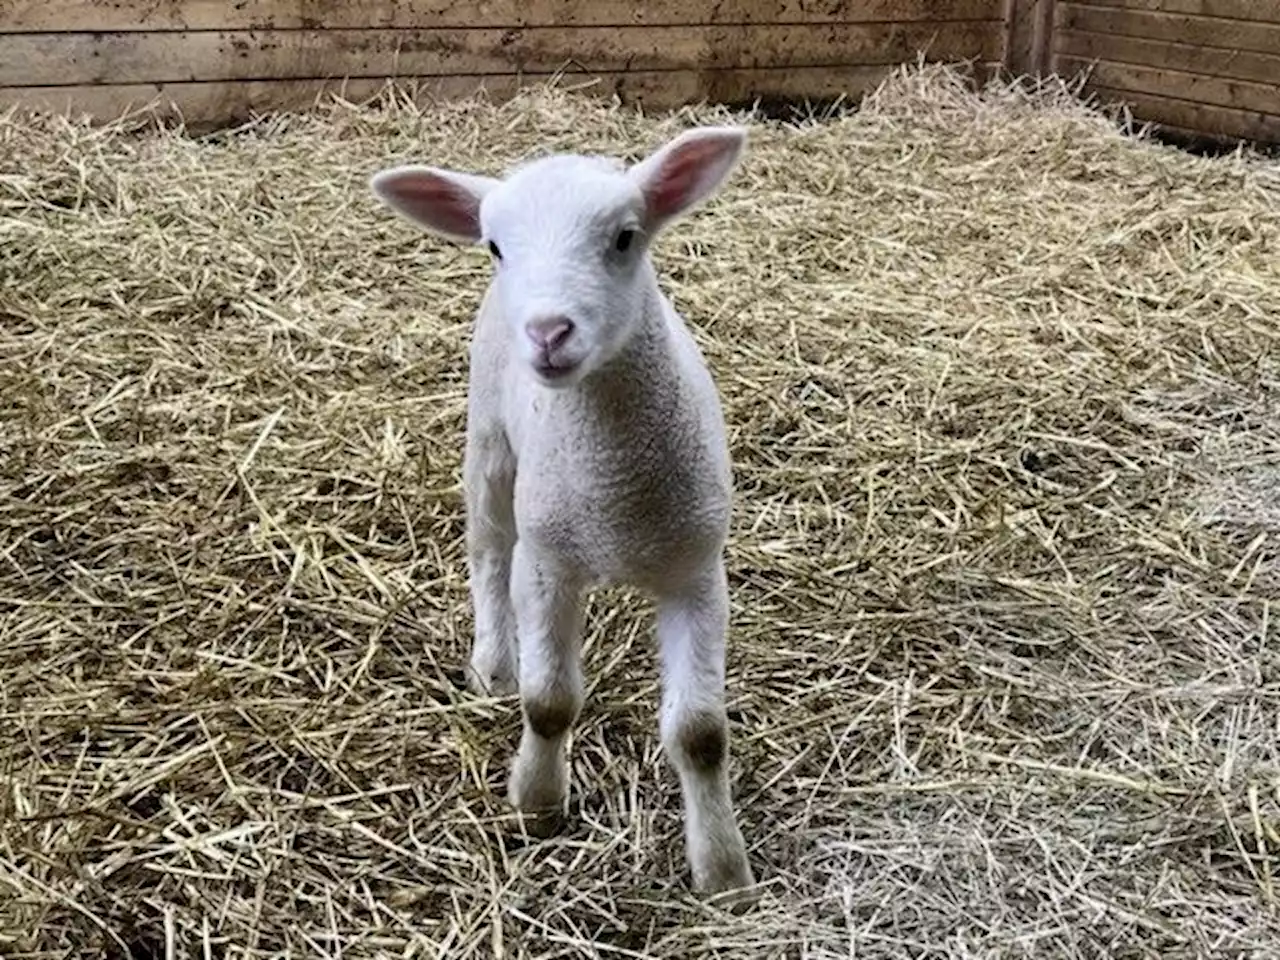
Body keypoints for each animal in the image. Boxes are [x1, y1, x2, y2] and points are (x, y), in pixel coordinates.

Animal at [366, 124, 752, 901]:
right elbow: (547, 703)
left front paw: (722, 867)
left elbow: (700, 734)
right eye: (495, 247)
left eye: (626, 237)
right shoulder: (547, 565)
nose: (549, 331)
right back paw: (493, 662)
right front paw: (537, 802)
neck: (616, 489)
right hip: (489, 442)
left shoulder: (698, 572)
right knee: (488, 551)